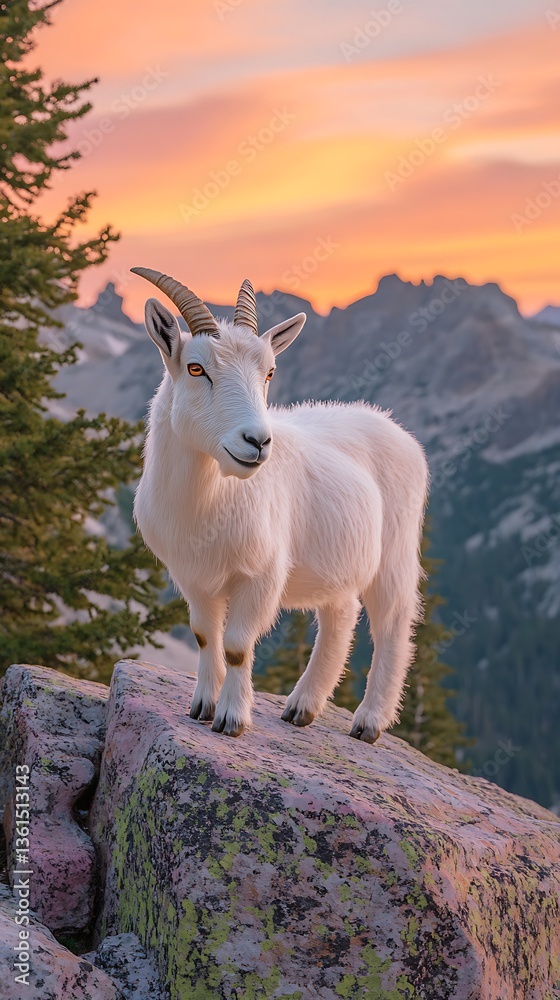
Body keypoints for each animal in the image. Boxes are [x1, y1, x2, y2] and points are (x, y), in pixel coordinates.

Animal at [131, 268, 429, 740]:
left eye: (269, 372)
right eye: (196, 368)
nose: (257, 441)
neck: (206, 502)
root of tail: (396, 429)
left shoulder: (261, 574)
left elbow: (237, 646)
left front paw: (232, 719)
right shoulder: (193, 577)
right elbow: (204, 635)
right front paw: (201, 707)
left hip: (395, 555)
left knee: (393, 623)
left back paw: (368, 722)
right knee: (341, 613)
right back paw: (302, 707)